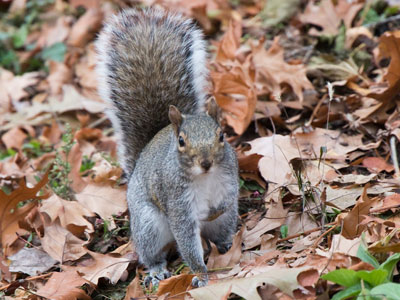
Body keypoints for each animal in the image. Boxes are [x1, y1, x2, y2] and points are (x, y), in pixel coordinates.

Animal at [95, 7, 239, 288]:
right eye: (181, 141)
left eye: (221, 136)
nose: (206, 162)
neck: (205, 178)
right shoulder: (177, 201)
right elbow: (188, 241)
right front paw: (201, 275)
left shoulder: (229, 178)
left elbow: (228, 199)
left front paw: (215, 211)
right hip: (148, 224)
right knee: (151, 253)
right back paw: (157, 270)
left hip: (224, 223)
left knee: (221, 231)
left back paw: (226, 246)